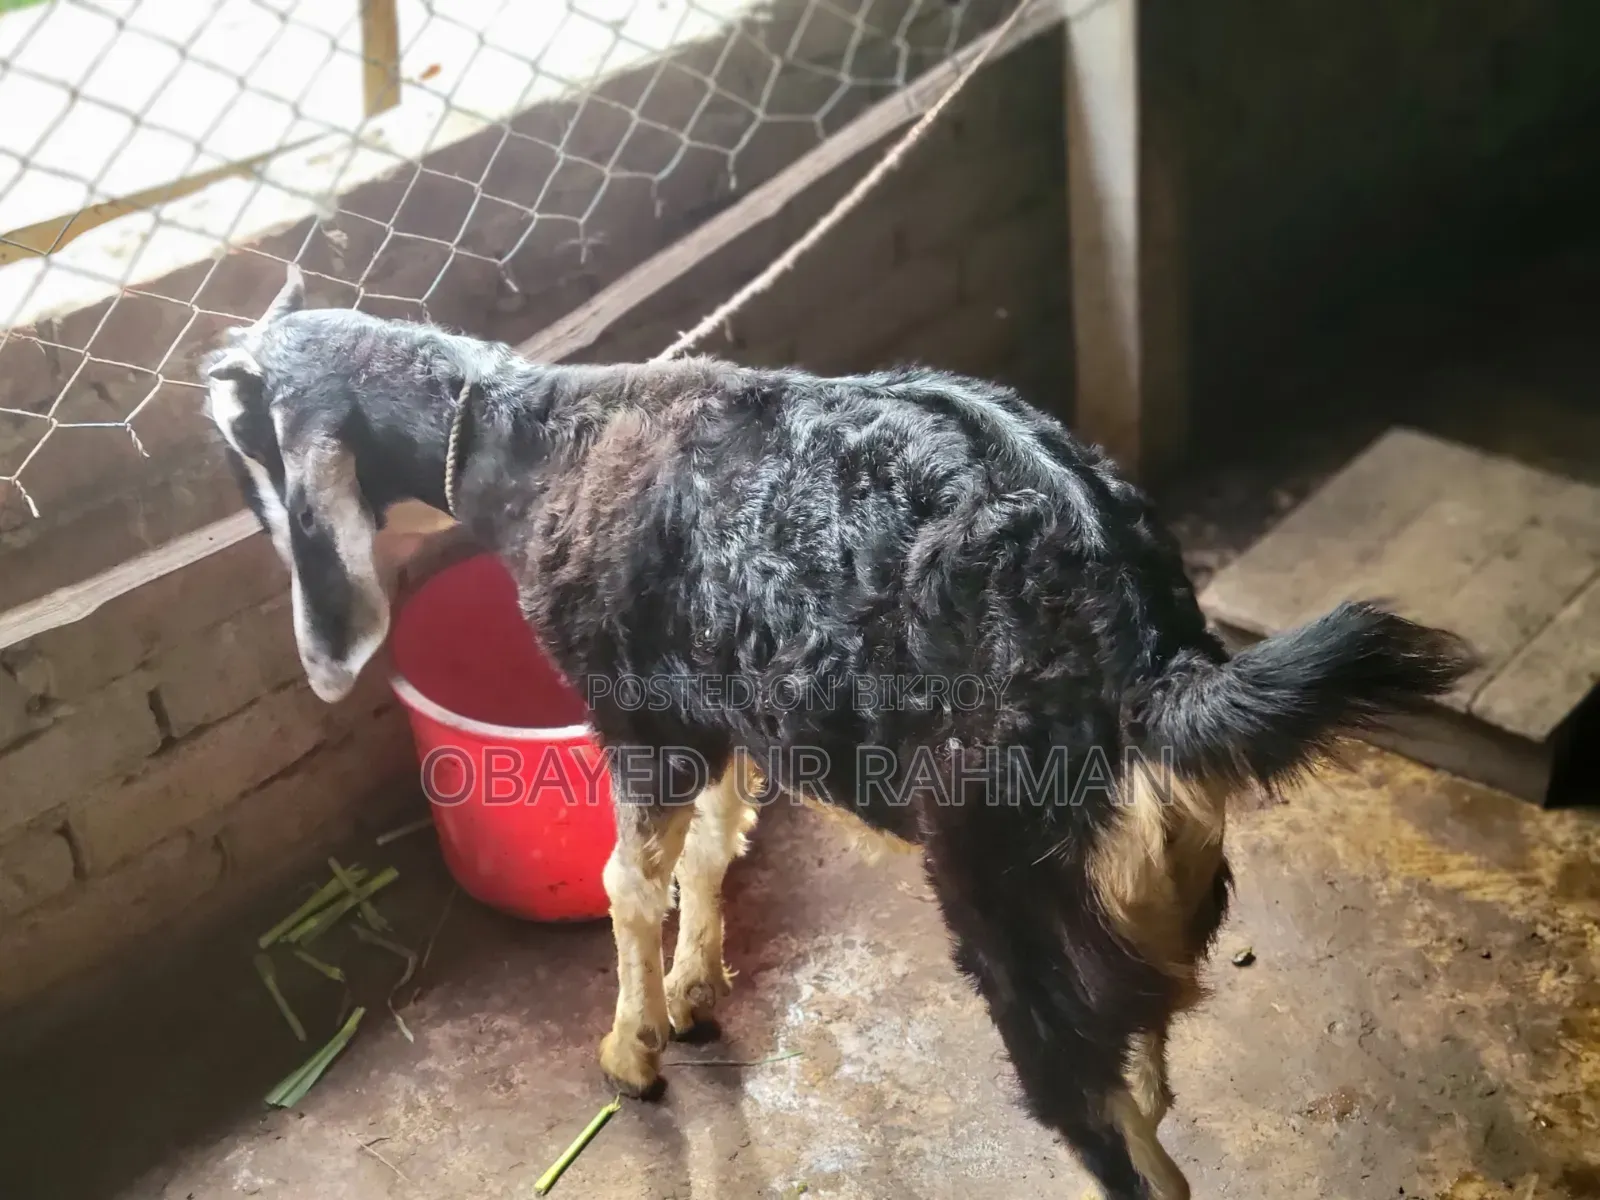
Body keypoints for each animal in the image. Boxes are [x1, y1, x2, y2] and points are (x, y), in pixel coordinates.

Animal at [201, 265, 1473, 1200]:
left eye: (243, 430)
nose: (207, 371)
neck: (532, 447)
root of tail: (1151, 664)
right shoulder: (722, 706)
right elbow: (712, 850)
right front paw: (694, 991)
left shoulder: (637, 711)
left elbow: (628, 880)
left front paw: (631, 1049)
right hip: (1132, 906)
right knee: (1148, 1080)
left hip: (1010, 893)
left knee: (1114, 1134)